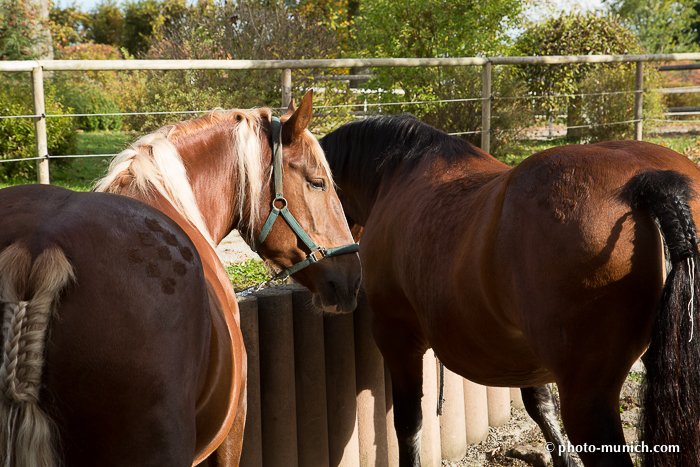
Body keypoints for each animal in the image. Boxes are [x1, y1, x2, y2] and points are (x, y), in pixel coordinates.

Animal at [322, 113, 700, 467]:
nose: (338, 284)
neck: (396, 175)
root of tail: (650, 182)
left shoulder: (397, 338)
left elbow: (409, 423)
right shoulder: (523, 356)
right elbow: (541, 408)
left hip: (587, 399)